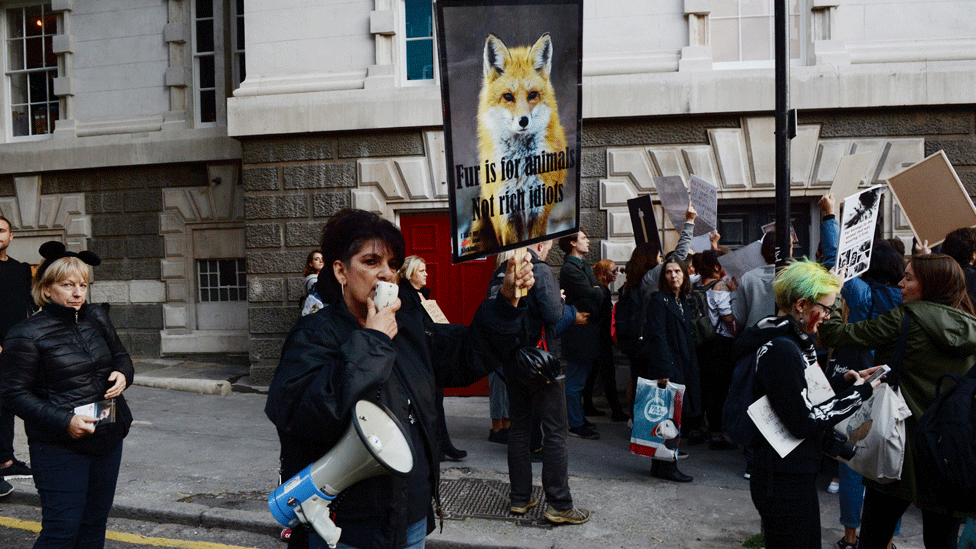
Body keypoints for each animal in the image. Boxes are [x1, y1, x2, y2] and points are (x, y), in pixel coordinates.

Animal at [468, 35, 568, 254]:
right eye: (508, 96)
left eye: (532, 95)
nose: (523, 121)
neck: (520, 167)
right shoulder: (506, 216)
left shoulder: (538, 211)